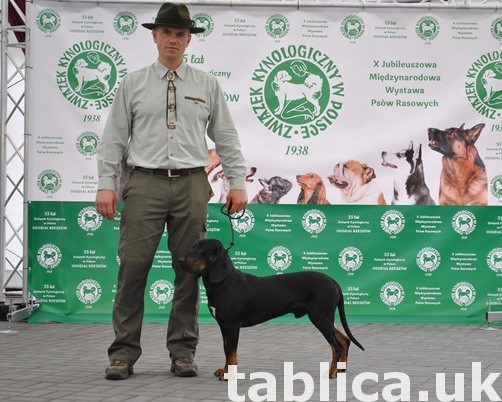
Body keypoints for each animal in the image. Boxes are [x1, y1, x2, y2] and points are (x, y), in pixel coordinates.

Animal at [180, 239, 364, 380]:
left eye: (200, 249)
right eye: (193, 246)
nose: (180, 260)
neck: (223, 282)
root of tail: (333, 281)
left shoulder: (232, 325)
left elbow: (231, 352)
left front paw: (228, 375)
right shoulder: (223, 325)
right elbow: (227, 350)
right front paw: (224, 370)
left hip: (320, 317)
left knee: (336, 346)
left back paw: (332, 372)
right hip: (324, 317)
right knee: (345, 340)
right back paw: (340, 369)